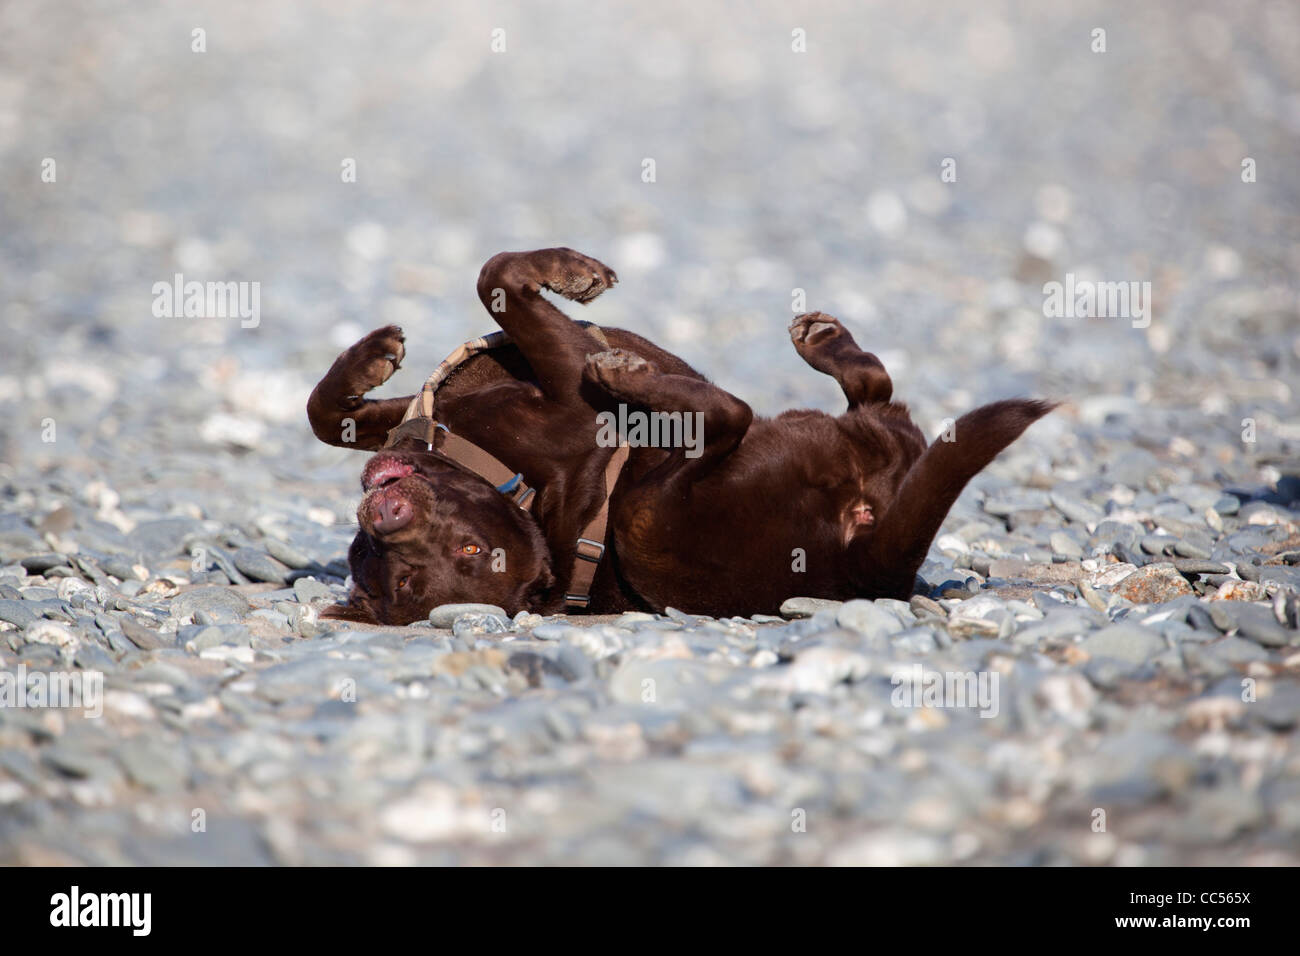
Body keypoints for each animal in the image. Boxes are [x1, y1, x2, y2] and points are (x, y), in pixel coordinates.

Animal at [306, 247, 1055, 624]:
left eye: (466, 547)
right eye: (404, 580)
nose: (387, 513)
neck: (509, 480)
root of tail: (865, 563)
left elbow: (326, 415)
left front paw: (370, 358)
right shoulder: (565, 382)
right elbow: (499, 276)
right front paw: (572, 275)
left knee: (869, 393)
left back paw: (819, 341)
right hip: (656, 507)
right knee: (750, 412)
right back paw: (640, 376)